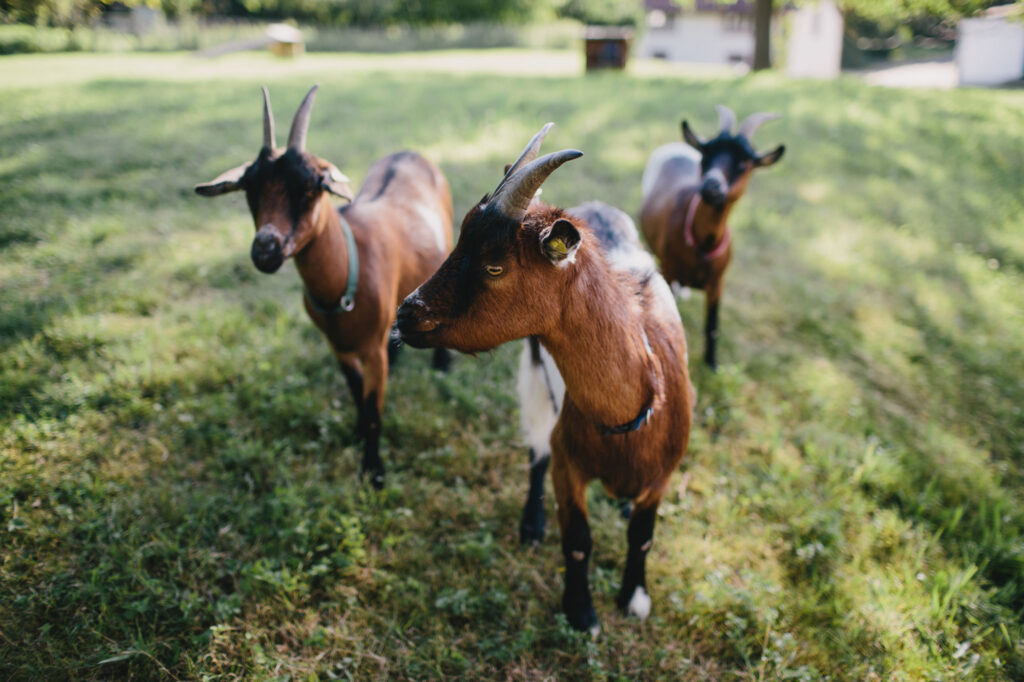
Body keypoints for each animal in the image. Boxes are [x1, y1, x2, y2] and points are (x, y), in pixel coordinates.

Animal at [195, 85, 453, 488]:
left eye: (311, 185)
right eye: (249, 188)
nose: (265, 249)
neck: (348, 270)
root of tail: (409, 152)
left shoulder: (370, 351)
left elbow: (374, 407)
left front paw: (373, 472)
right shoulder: (339, 347)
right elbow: (357, 394)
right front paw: (358, 435)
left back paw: (442, 364)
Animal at [396, 124, 694, 634]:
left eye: (494, 265)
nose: (406, 313)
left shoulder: (662, 476)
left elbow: (642, 536)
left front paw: (634, 597)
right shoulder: (567, 463)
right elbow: (576, 538)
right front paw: (581, 613)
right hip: (533, 375)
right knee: (536, 449)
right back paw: (531, 525)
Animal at [641, 105, 784, 370]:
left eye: (744, 162)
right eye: (706, 156)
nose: (711, 185)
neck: (703, 244)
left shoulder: (718, 282)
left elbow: (713, 326)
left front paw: (712, 364)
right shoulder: (667, 270)